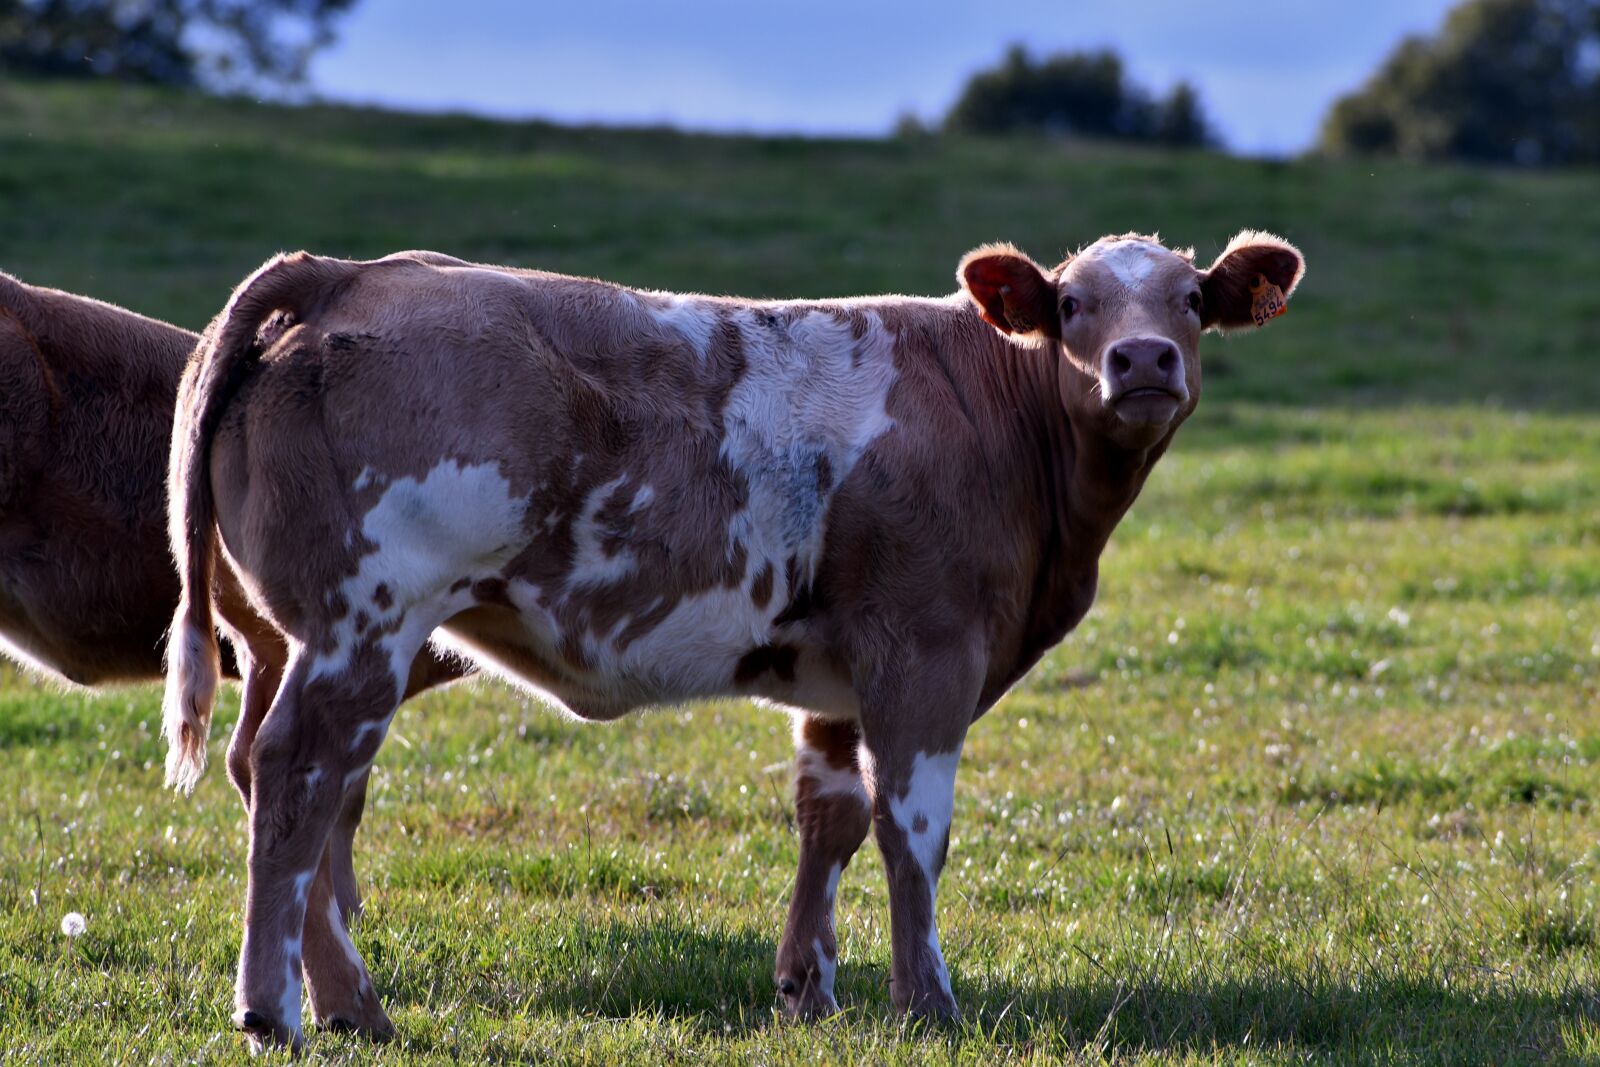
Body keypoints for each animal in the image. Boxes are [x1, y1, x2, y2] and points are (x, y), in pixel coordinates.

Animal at [164, 232, 1304, 1050]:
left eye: (1190, 298)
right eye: (1072, 304)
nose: (1142, 359)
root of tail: (346, 274)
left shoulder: (840, 680)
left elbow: (830, 816)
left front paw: (810, 988)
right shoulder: (928, 652)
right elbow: (913, 829)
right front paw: (927, 1001)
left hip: (294, 634)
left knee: (268, 771)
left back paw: (347, 1002)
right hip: (368, 617)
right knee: (301, 775)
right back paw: (278, 1011)